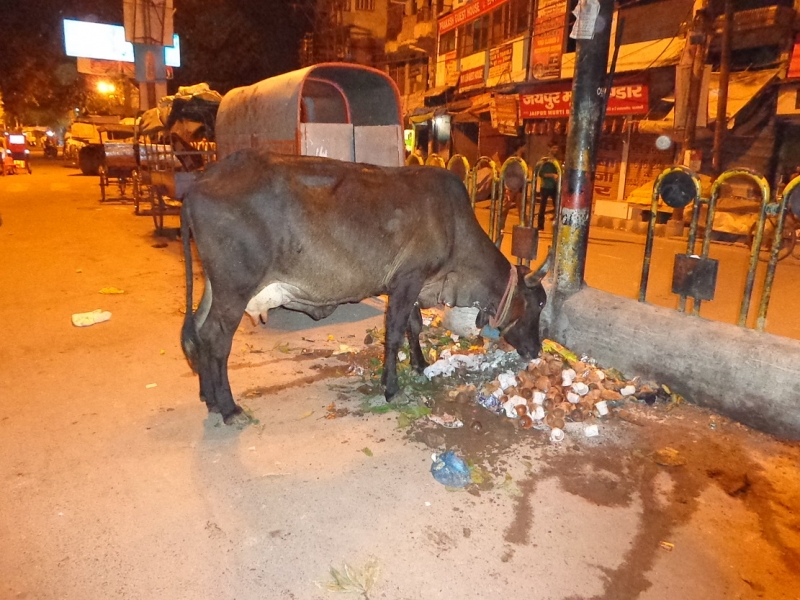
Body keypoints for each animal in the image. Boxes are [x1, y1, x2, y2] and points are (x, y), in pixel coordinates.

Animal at [178, 149, 548, 426]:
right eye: (540, 304)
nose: (537, 350)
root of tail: (199, 182)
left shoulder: (411, 283)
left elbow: (414, 325)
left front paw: (420, 365)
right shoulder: (409, 278)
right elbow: (395, 332)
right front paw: (392, 388)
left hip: (215, 285)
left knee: (197, 331)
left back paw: (210, 398)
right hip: (235, 287)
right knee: (216, 338)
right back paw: (229, 408)